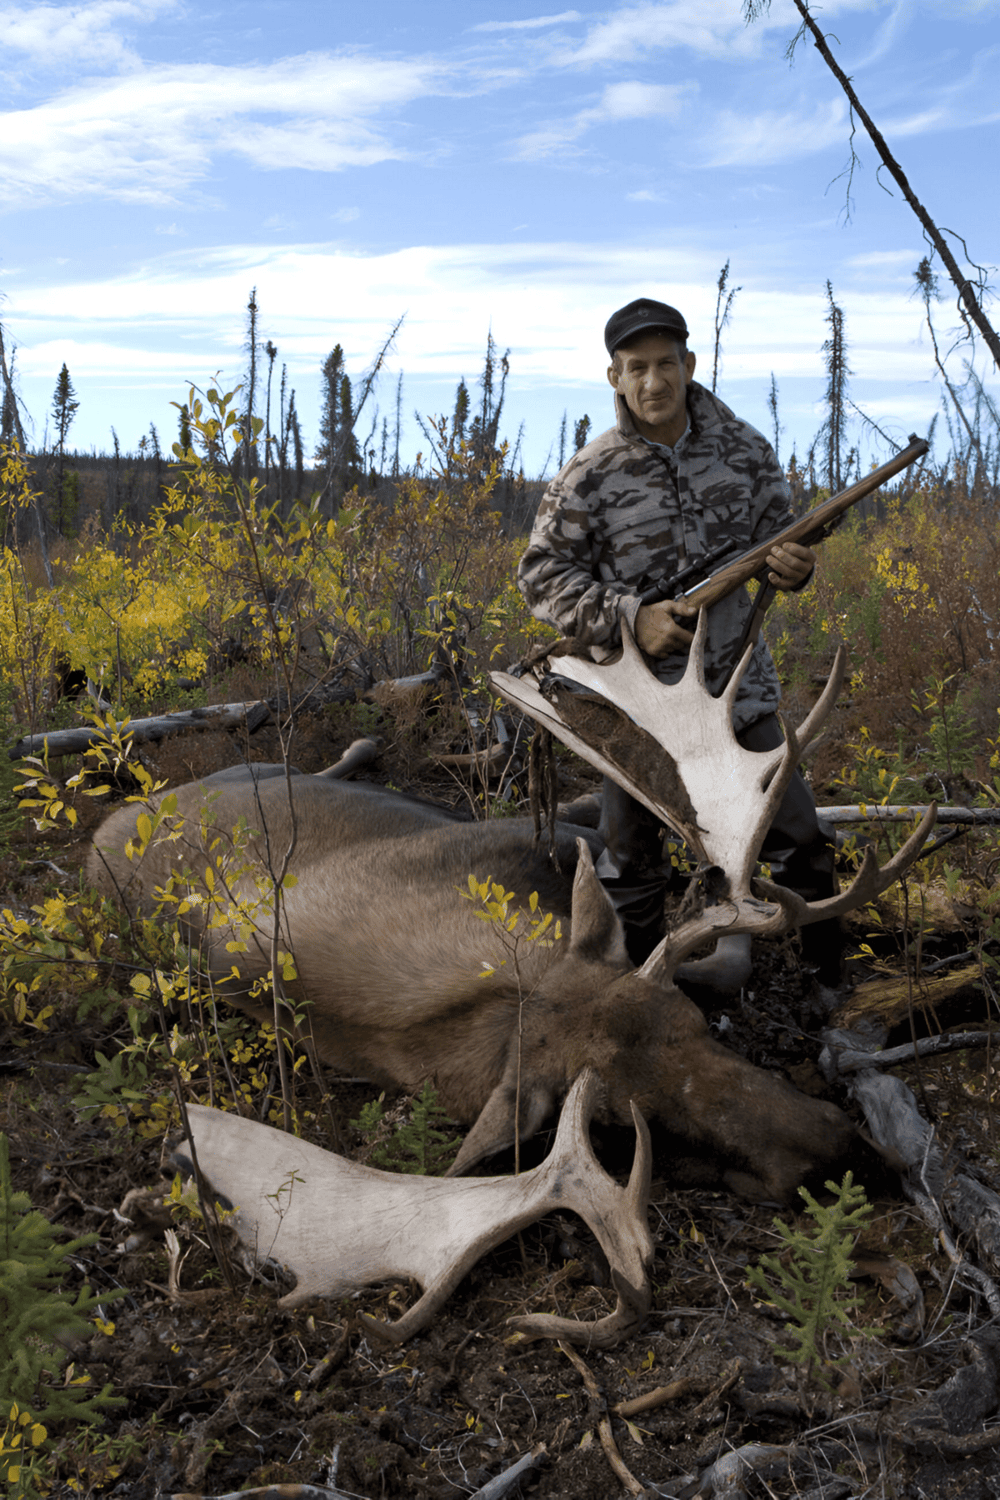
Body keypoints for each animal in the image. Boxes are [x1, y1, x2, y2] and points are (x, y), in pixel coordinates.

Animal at [89, 611, 935, 1203]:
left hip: (257, 769)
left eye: (694, 1030)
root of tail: (108, 827)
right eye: (623, 1124)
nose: (832, 1154)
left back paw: (367, 747)